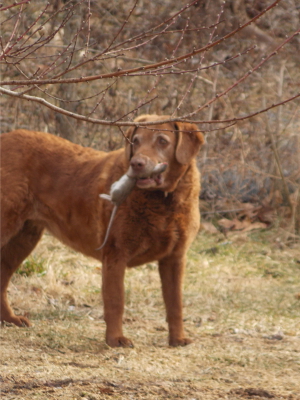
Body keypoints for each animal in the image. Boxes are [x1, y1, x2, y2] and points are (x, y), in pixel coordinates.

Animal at [0, 115, 204, 346]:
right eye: (135, 141)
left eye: (162, 141)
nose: (136, 163)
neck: (163, 201)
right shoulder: (115, 253)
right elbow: (116, 300)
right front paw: (116, 339)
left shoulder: (175, 257)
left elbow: (175, 303)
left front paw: (178, 338)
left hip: (24, 237)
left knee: (2, 276)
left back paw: (10, 319)